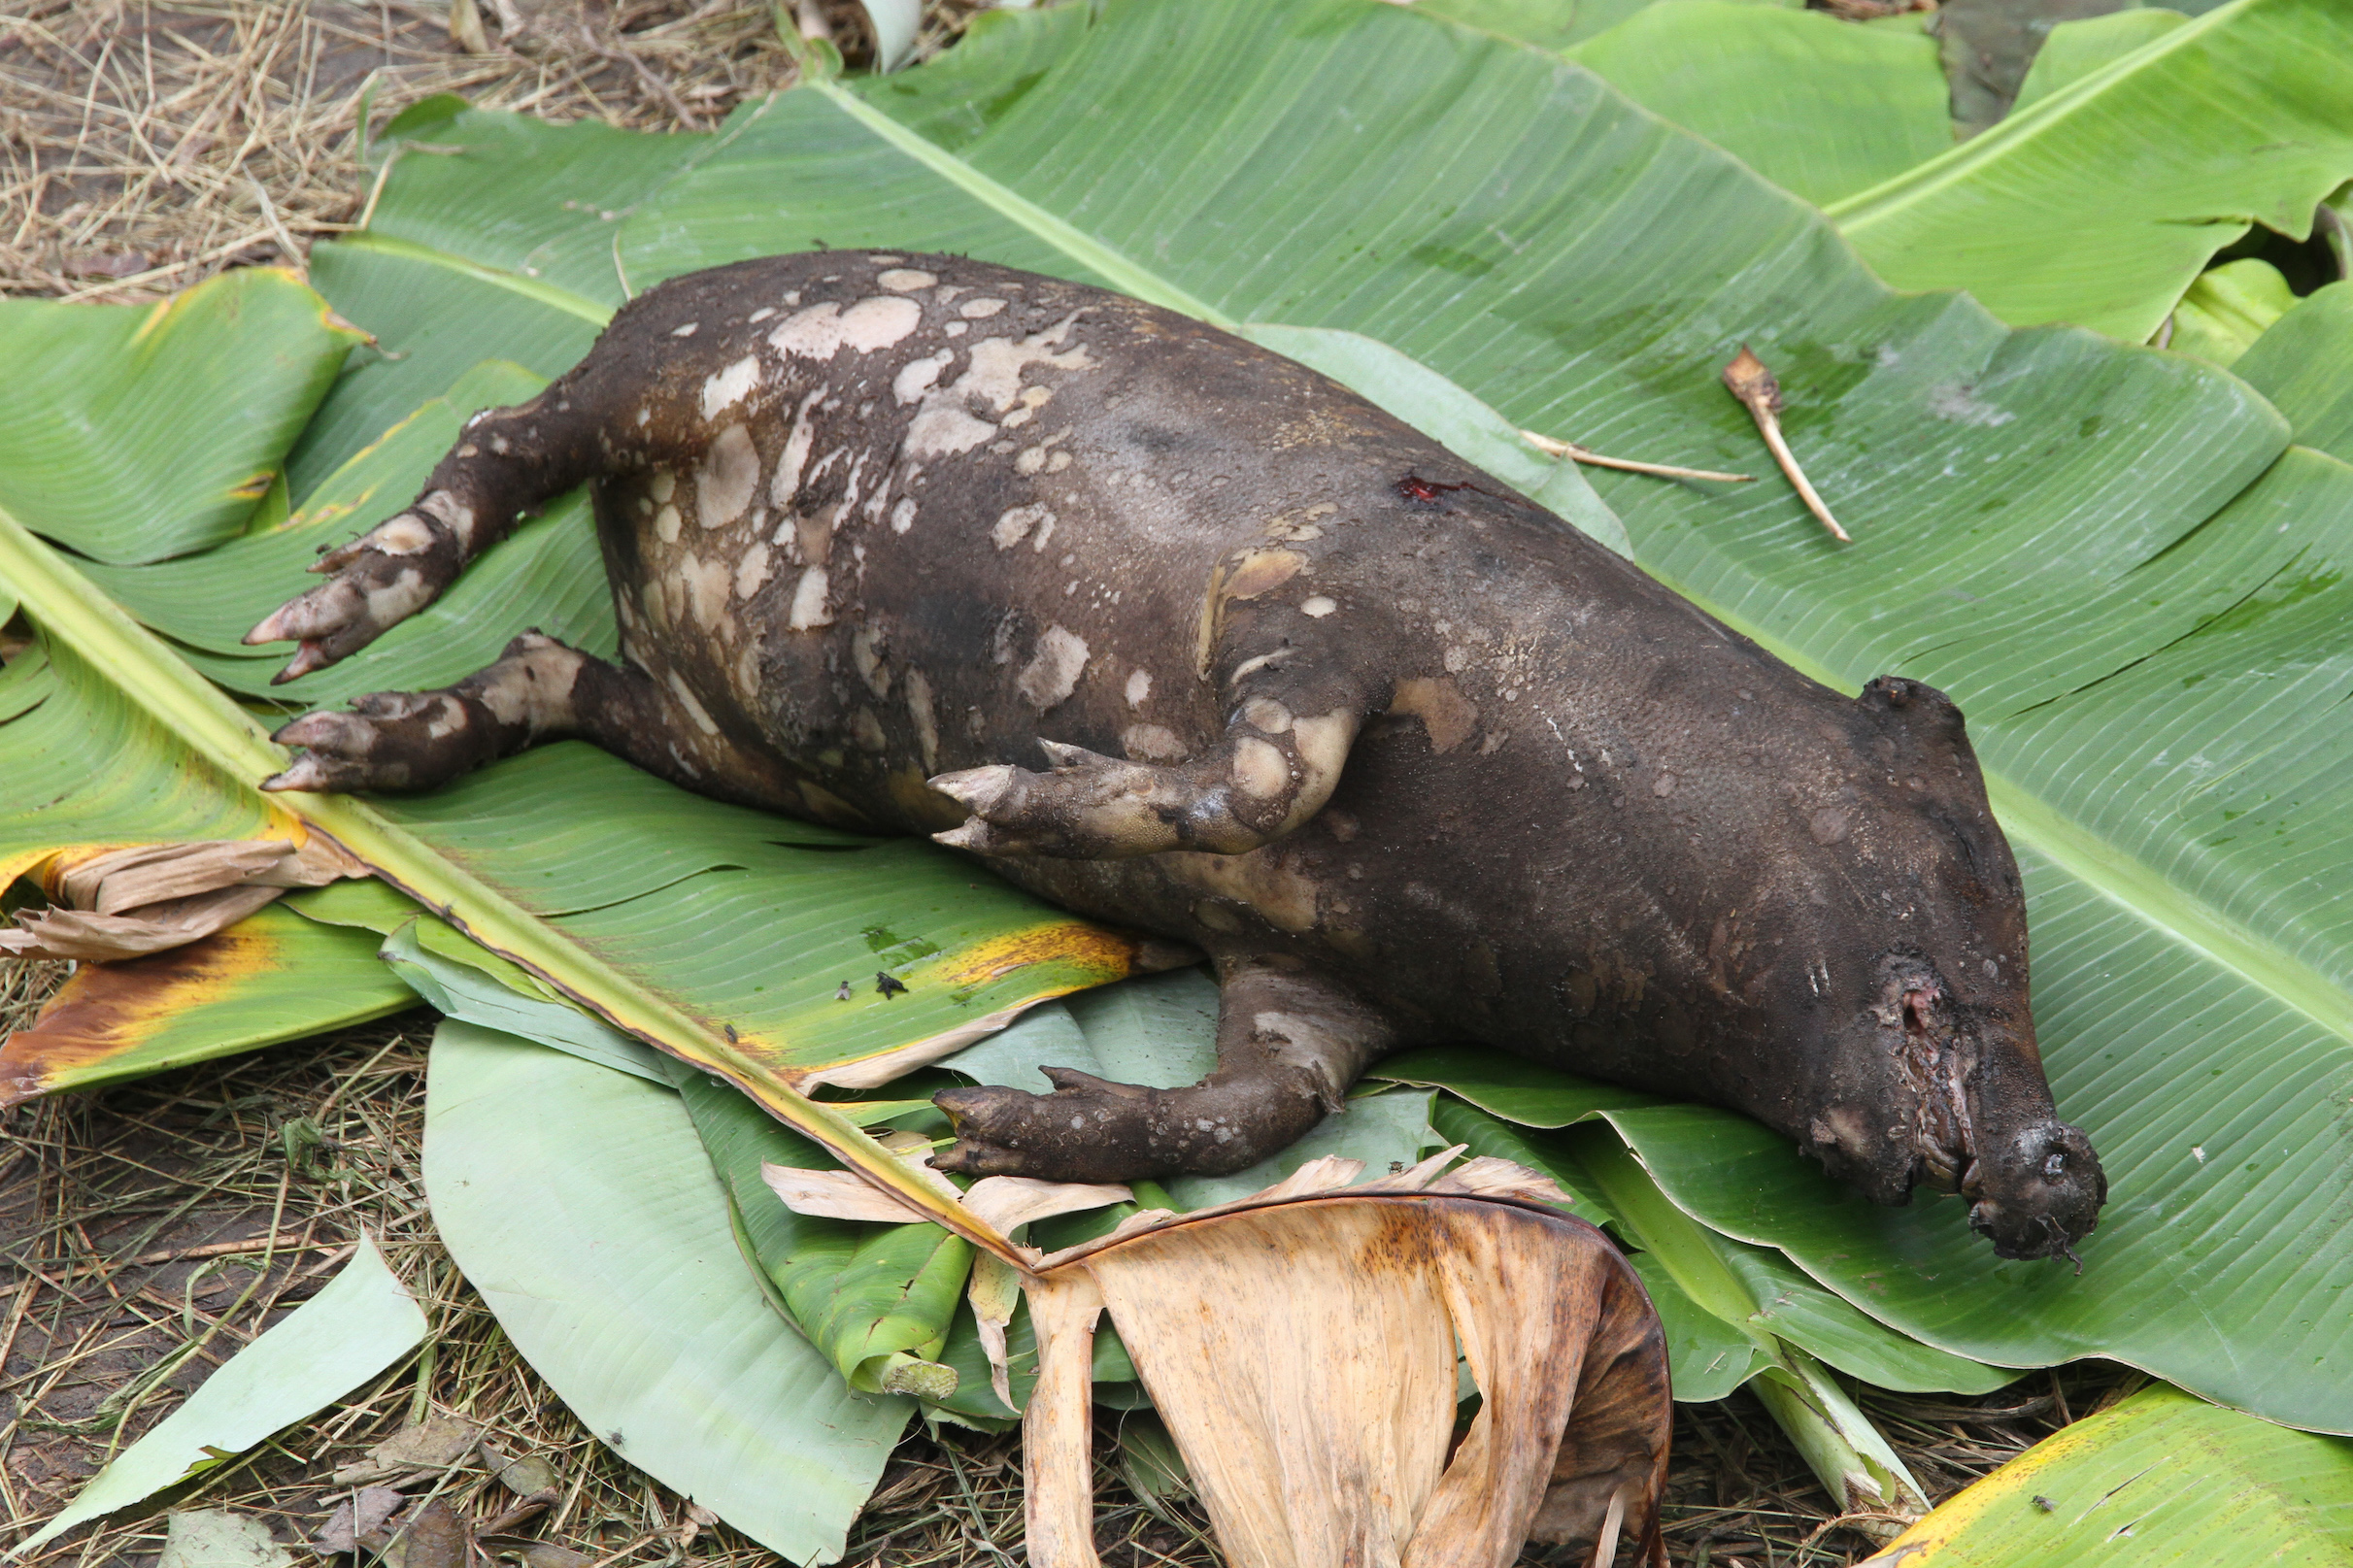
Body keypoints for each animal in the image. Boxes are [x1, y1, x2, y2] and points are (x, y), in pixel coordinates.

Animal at [252, 254, 2117, 1259]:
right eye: (1977, 875)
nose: (2066, 1174)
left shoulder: (1323, 993)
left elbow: (1243, 1113)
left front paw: (992, 1128)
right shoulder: (1334, 616)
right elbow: (1259, 776)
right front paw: (998, 796)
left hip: (719, 734)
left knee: (547, 665)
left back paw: (348, 746)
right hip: (678, 360)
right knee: (504, 437)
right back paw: (315, 633)